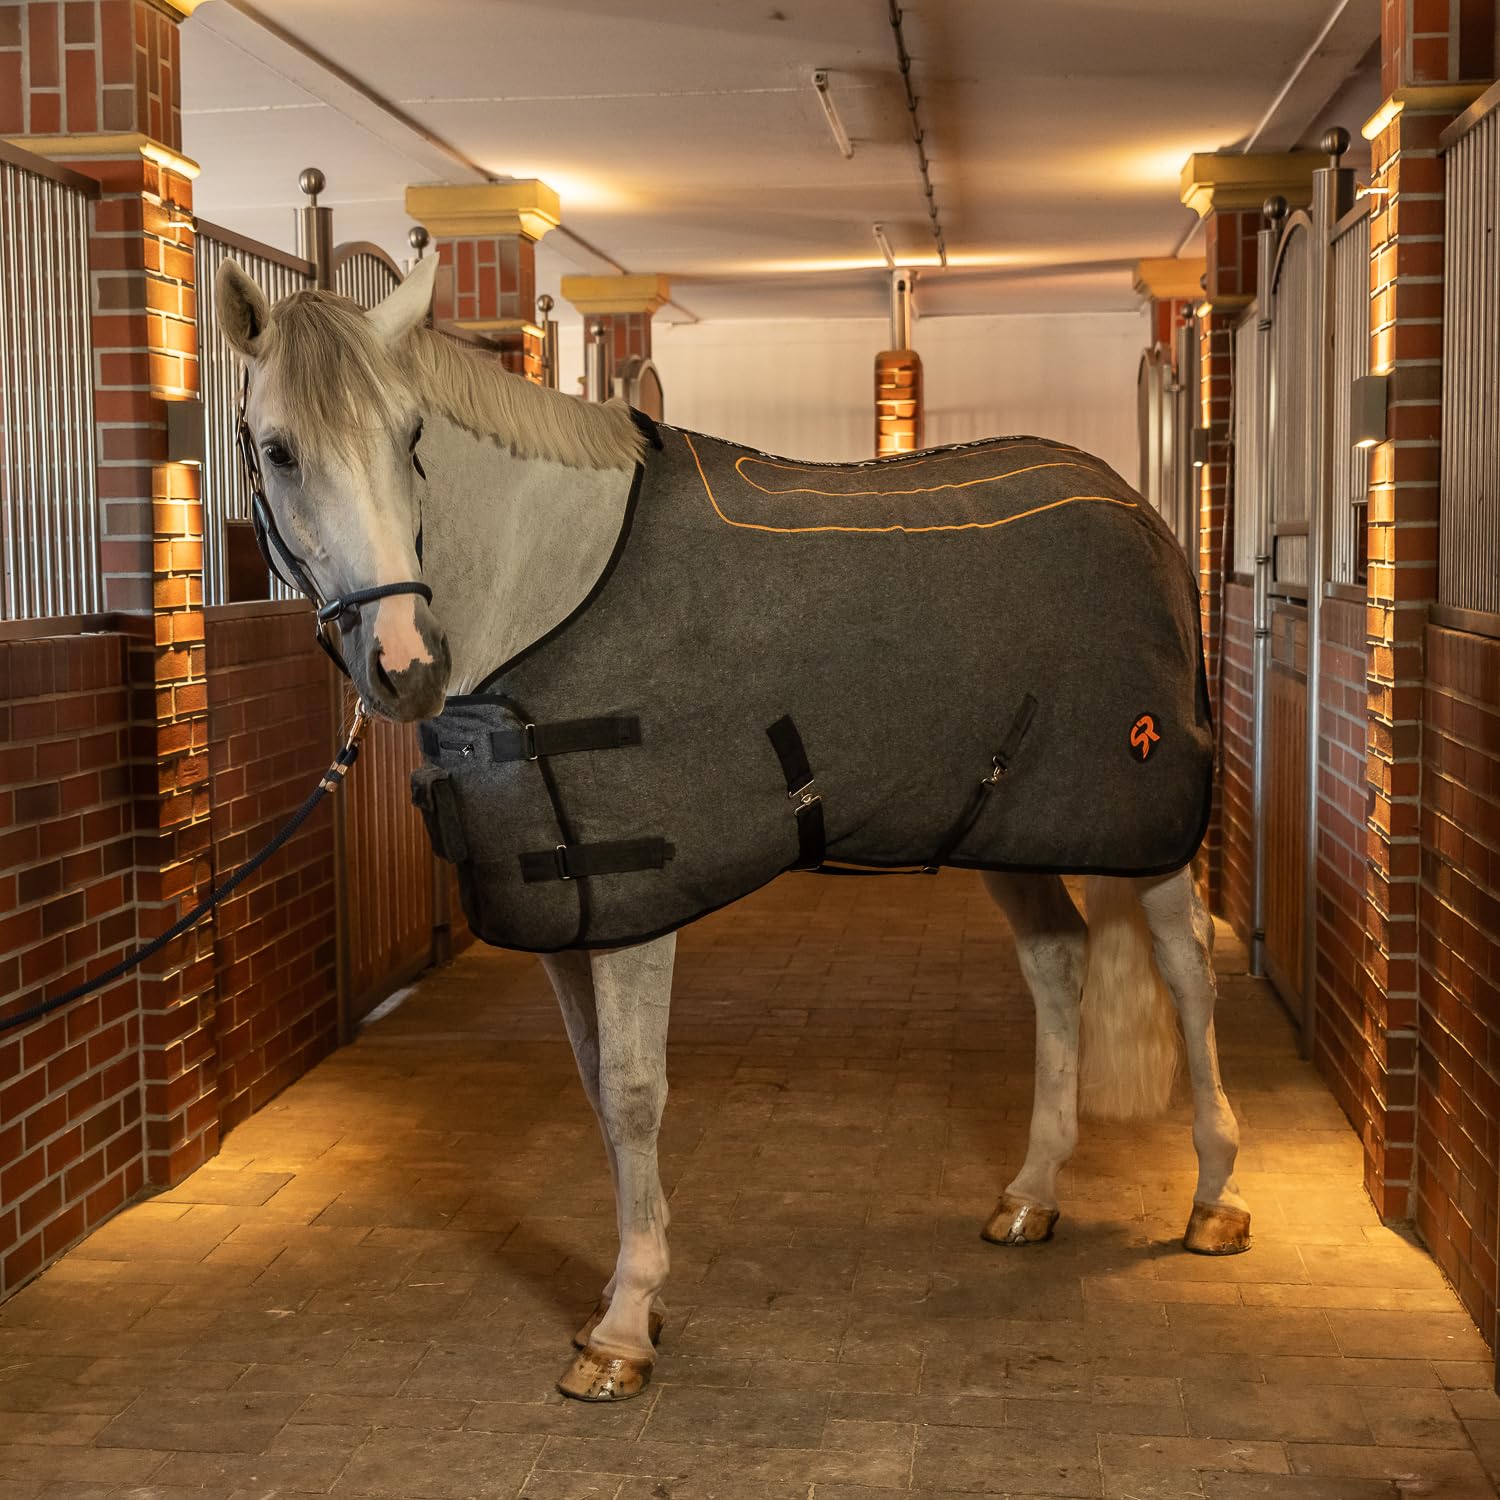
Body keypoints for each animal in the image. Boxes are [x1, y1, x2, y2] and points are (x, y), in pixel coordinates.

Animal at [213, 253, 1250, 1404]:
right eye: (277, 448)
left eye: (411, 438)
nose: (404, 663)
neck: (550, 589)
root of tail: (1144, 516)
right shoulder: (568, 913)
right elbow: (595, 1089)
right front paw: (629, 1289)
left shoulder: (633, 909)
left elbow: (632, 1094)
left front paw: (624, 1327)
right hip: (1004, 821)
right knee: (1057, 959)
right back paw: (1031, 1195)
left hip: (1148, 829)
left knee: (1187, 969)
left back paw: (1212, 1196)